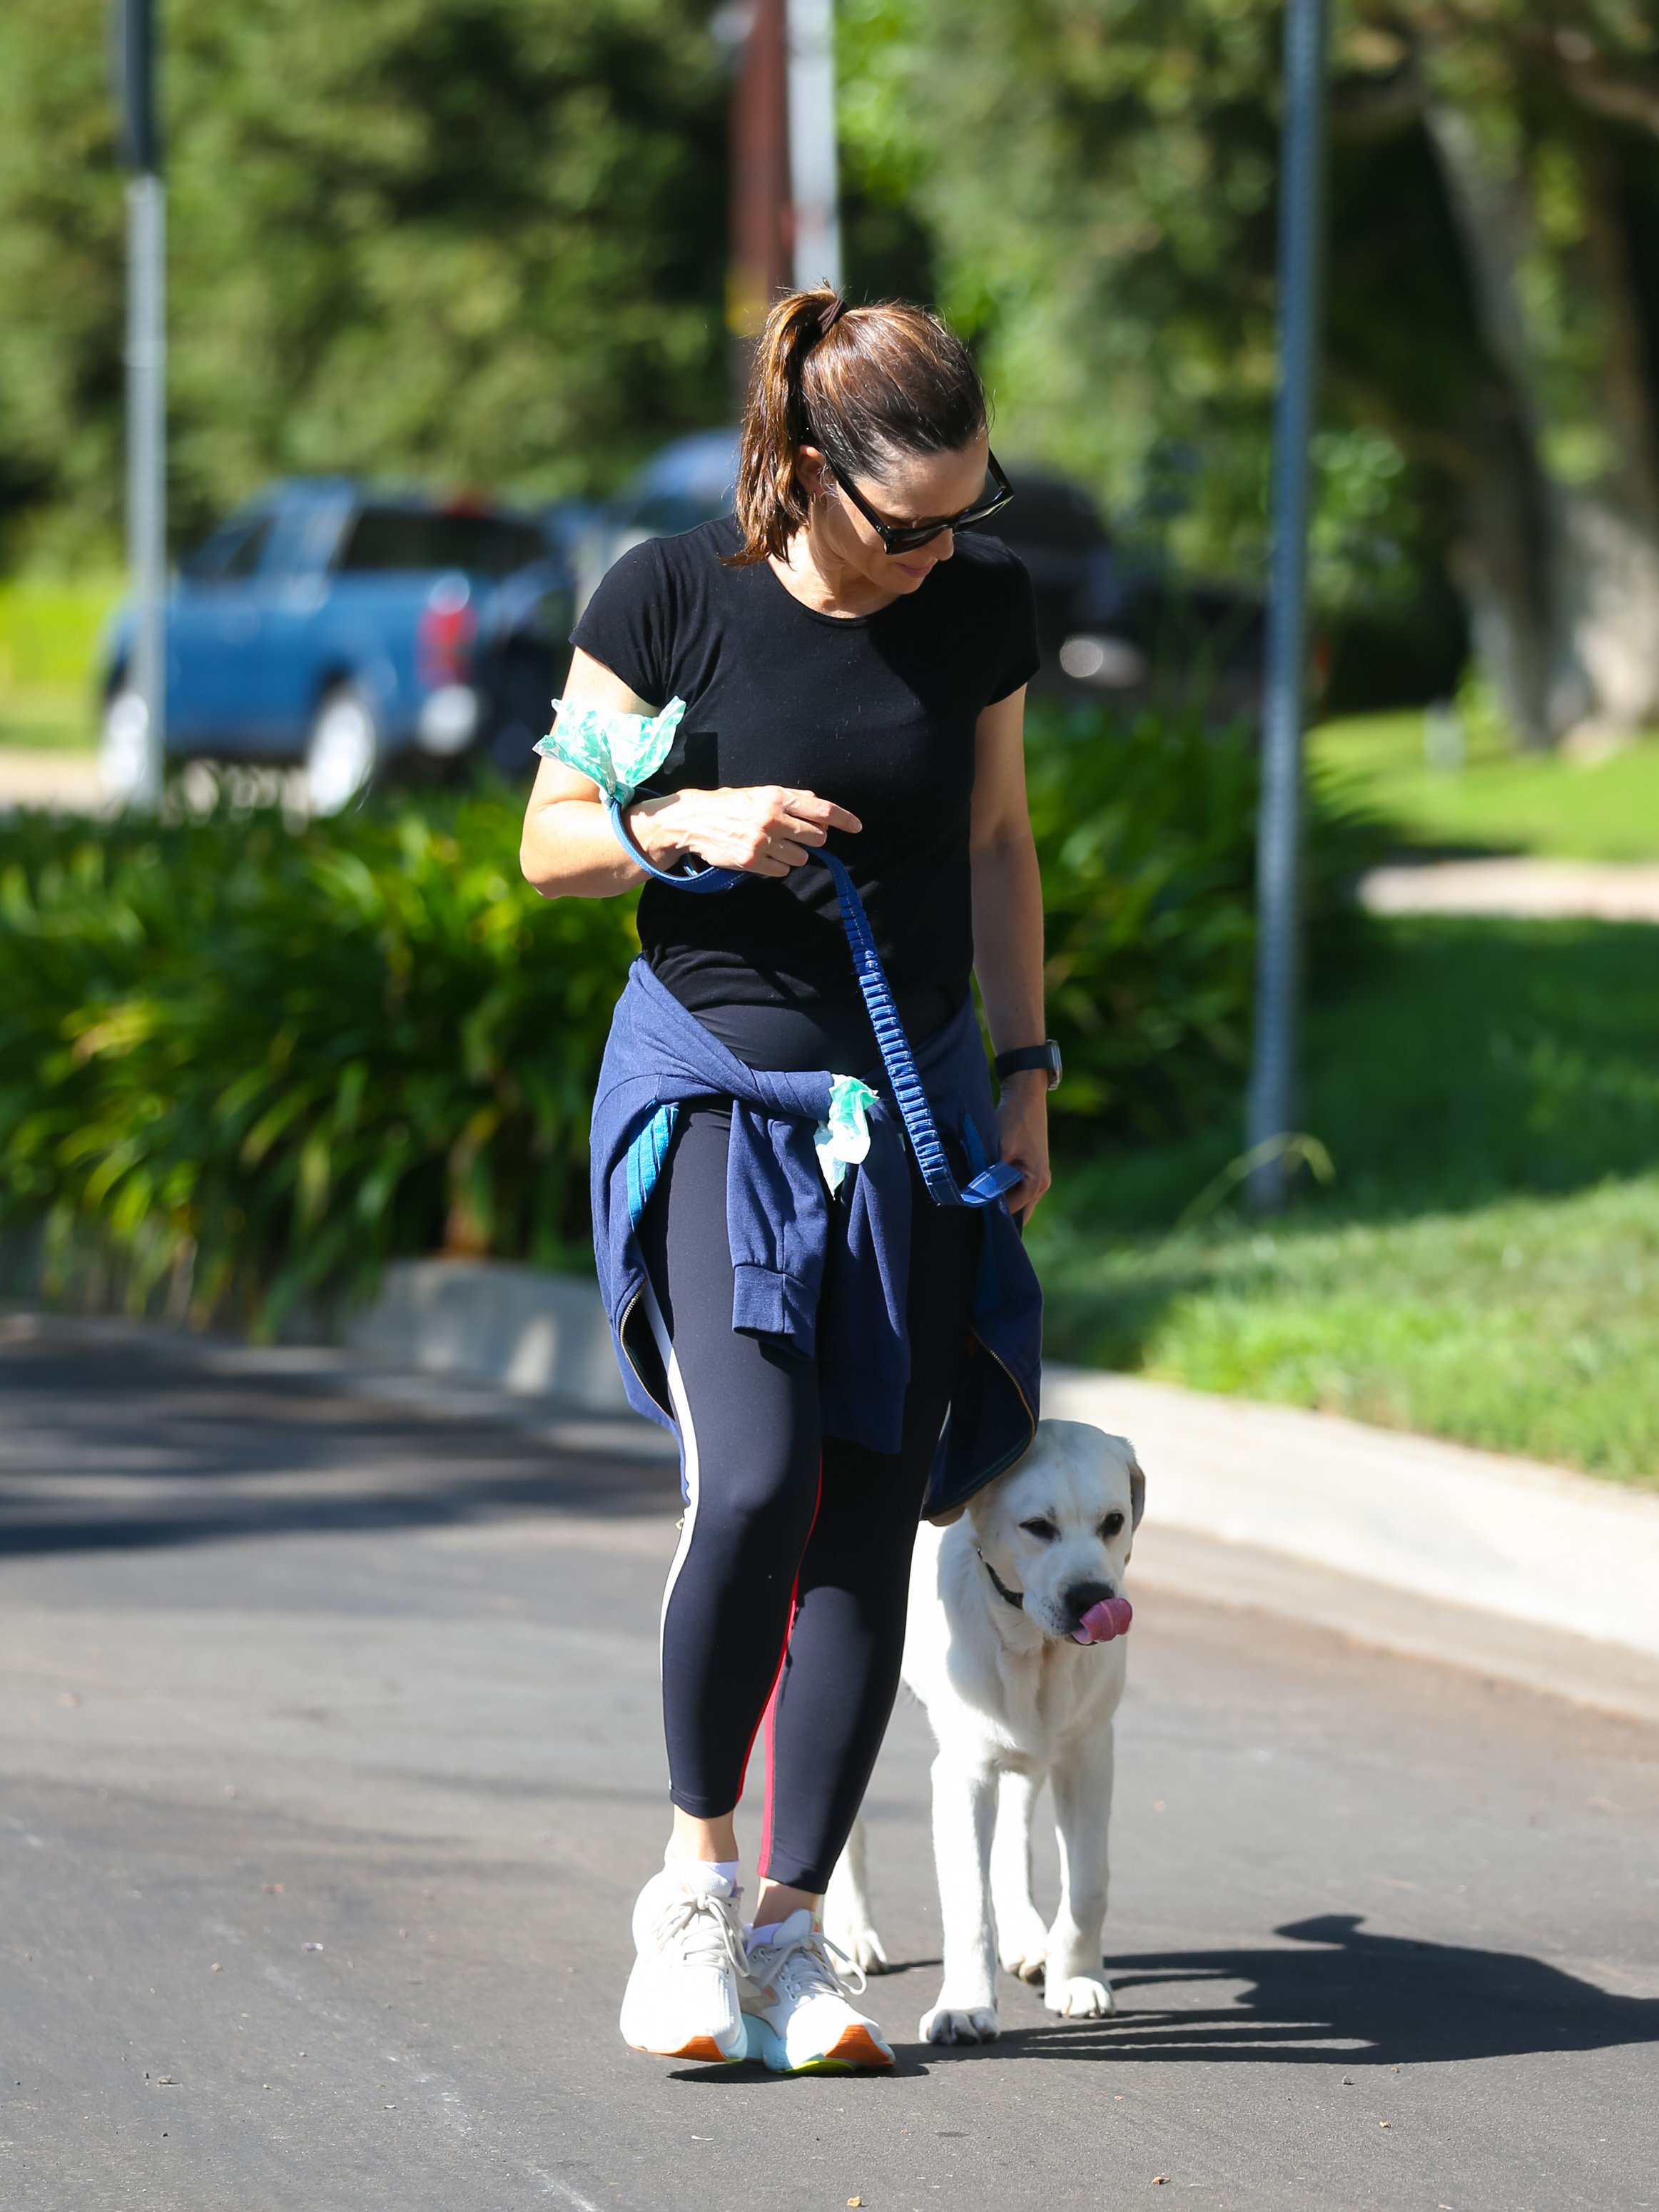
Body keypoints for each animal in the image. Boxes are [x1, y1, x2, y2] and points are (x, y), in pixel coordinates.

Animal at [827, 1424, 1141, 2044]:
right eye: (1037, 1527)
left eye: (1113, 1521)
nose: (1092, 1598)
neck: (1033, 1648)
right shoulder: (963, 1774)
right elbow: (967, 1903)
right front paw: (965, 2007)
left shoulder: (1088, 1753)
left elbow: (1088, 1884)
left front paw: (1077, 1976)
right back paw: (848, 1933)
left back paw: (1027, 1937)